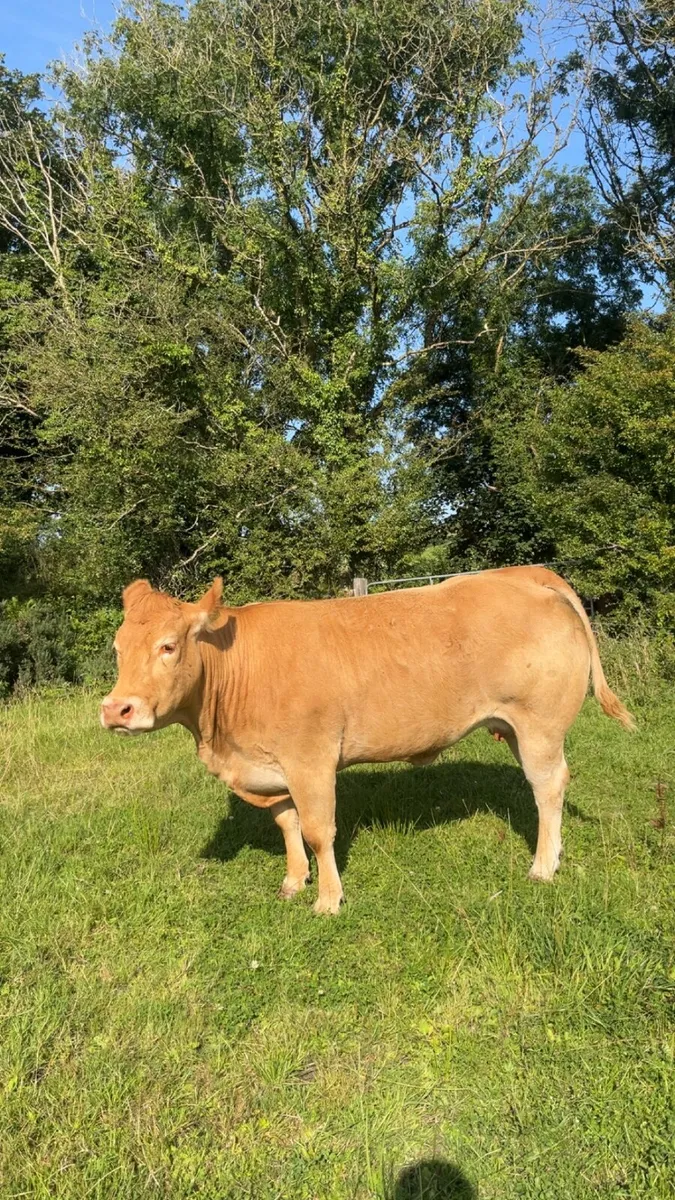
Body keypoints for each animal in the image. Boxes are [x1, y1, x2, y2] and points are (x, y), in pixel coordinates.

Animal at [100, 566, 634, 913]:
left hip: (540, 724)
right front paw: (294, 881)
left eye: (169, 646)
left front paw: (328, 900)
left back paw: (543, 866)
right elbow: (288, 824)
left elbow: (318, 831)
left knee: (548, 787)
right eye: (118, 647)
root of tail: (525, 574)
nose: (116, 709)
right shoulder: (272, 767)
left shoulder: (310, 760)